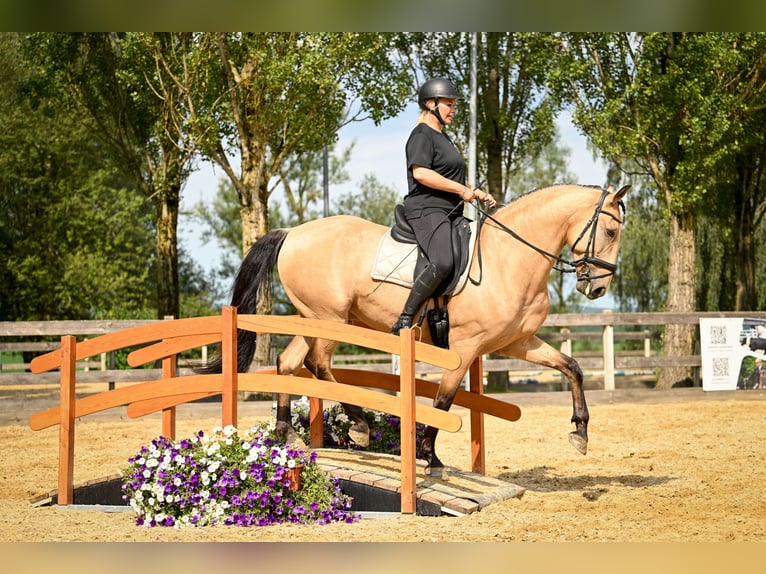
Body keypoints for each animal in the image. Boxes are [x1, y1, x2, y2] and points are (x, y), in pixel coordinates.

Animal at [200, 184, 632, 476]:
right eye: (611, 232)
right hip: (331, 319)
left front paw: (580, 433)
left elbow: (572, 367)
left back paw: (286, 433)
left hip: (315, 319)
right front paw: (429, 455)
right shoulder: (465, 347)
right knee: (319, 364)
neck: (510, 258)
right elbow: (443, 401)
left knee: (290, 364)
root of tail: (292, 232)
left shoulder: (518, 342)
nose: (597, 288)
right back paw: (359, 426)